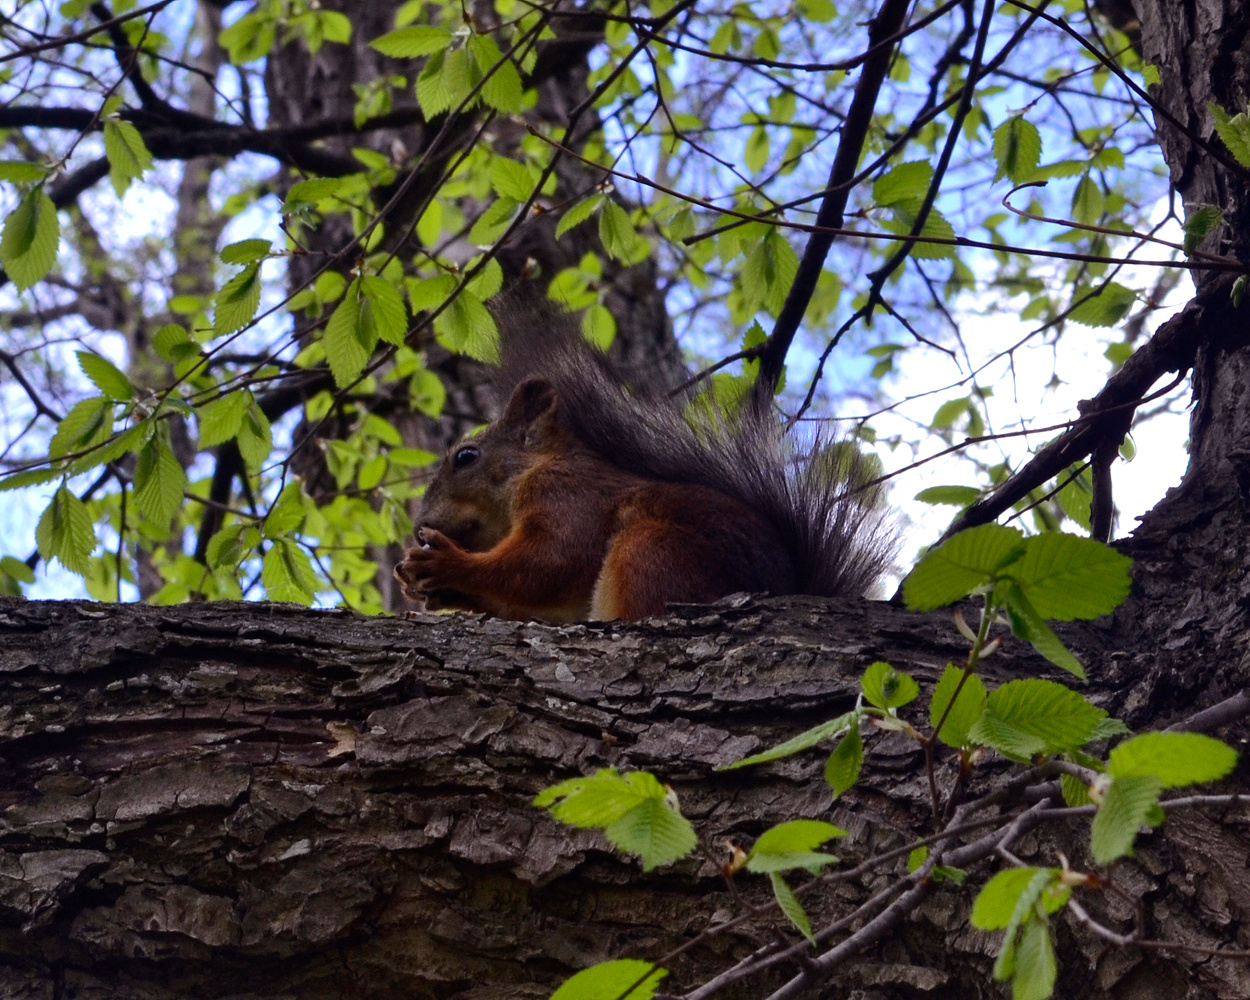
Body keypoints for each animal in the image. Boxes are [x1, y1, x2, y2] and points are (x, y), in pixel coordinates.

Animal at [394, 296, 892, 622]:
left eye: (466, 456)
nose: (420, 528)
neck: (534, 468)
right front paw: (440, 590)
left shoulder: (568, 495)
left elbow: (551, 561)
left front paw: (449, 566)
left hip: (652, 549)